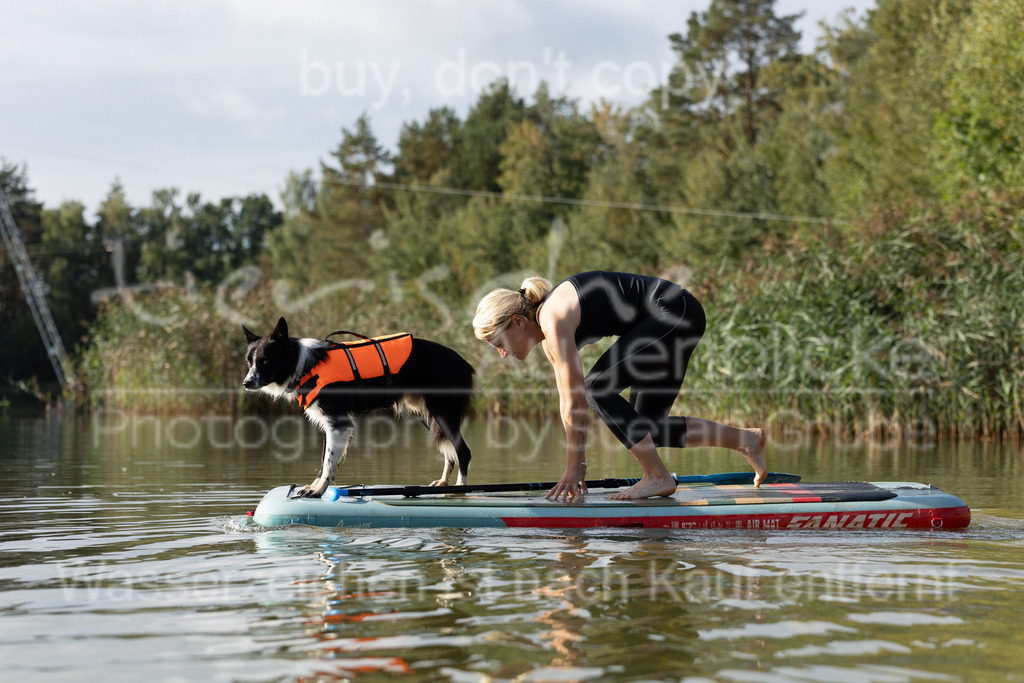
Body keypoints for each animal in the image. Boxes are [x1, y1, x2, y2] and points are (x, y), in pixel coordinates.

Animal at [243, 317, 475, 499]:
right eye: (249, 361)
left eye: (265, 360)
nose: (246, 383)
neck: (306, 364)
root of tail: (463, 362)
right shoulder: (328, 424)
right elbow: (323, 461)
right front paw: (314, 487)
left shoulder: (338, 423)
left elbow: (328, 462)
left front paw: (318, 491)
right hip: (430, 416)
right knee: (450, 451)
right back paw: (443, 483)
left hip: (443, 413)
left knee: (463, 451)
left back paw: (460, 490)